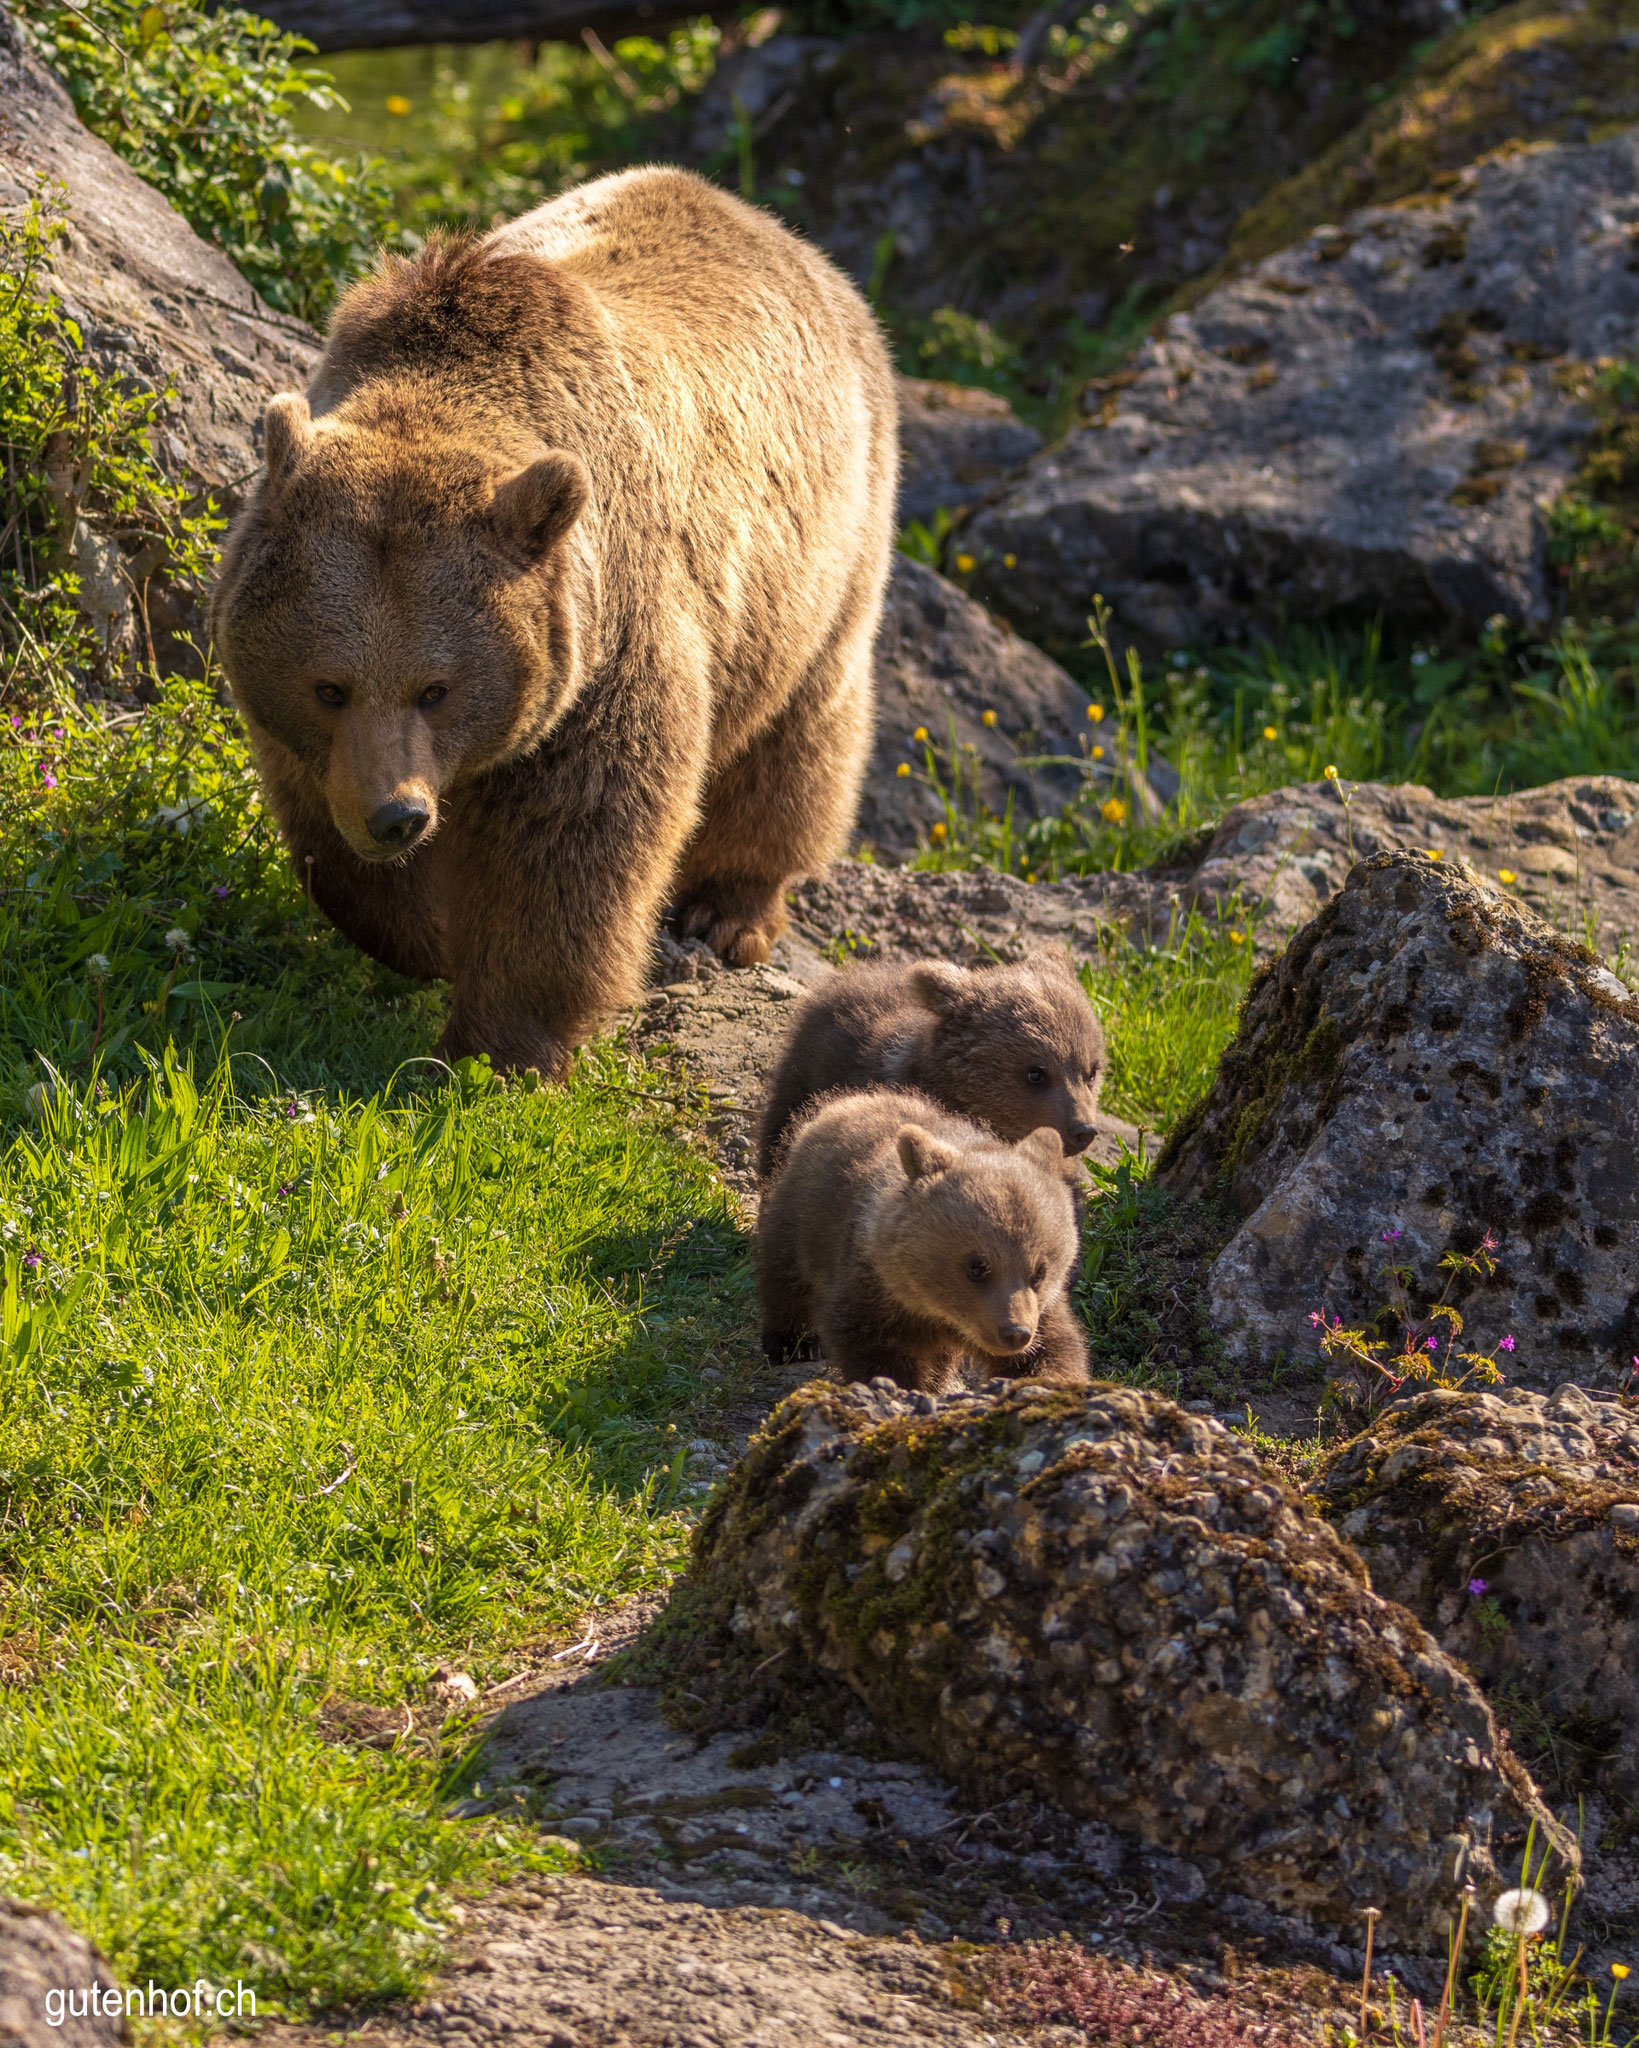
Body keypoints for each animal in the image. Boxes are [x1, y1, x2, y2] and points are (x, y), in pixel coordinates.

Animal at [210, 167, 898, 1075]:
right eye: (329, 686)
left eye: (436, 687)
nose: (398, 816)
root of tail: (781, 235)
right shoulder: (301, 717)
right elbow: (333, 845)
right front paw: (424, 929)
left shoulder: (604, 643)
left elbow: (576, 842)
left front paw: (500, 1045)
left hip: (821, 561)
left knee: (800, 736)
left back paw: (729, 909)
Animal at [756, 1086, 1089, 1393]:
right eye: (977, 1267)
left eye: (1040, 1271)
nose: (1014, 1331)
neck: (937, 1311)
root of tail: (854, 1098)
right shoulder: (871, 1285)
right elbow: (872, 1347)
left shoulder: (1042, 1311)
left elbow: (1052, 1350)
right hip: (802, 1214)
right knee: (784, 1275)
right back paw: (794, 1343)